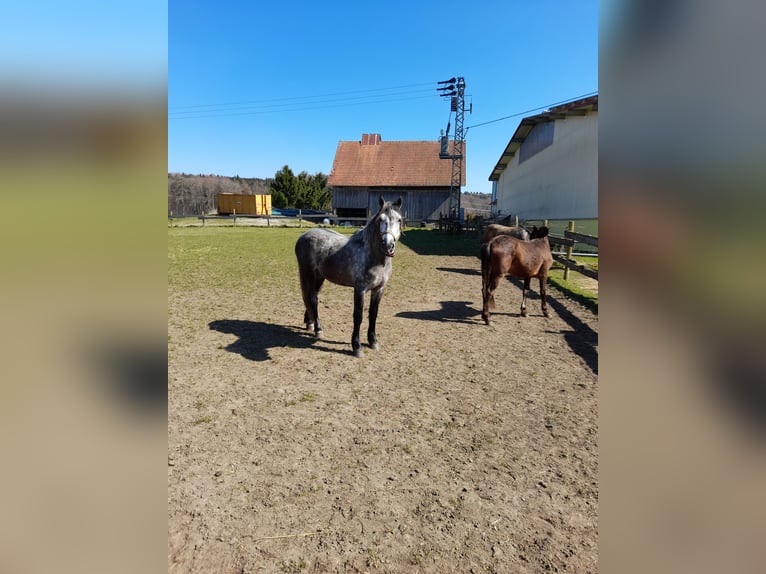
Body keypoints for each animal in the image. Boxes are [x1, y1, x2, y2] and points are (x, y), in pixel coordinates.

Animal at [295, 196, 403, 357]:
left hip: (319, 276)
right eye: (380, 220)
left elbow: (373, 314)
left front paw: (373, 341)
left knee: (311, 297)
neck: (373, 256)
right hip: (307, 273)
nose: (388, 246)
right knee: (312, 298)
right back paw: (318, 329)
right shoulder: (360, 290)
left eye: (399, 220)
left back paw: (310, 323)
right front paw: (357, 347)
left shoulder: (379, 289)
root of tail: (304, 236)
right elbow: (358, 316)